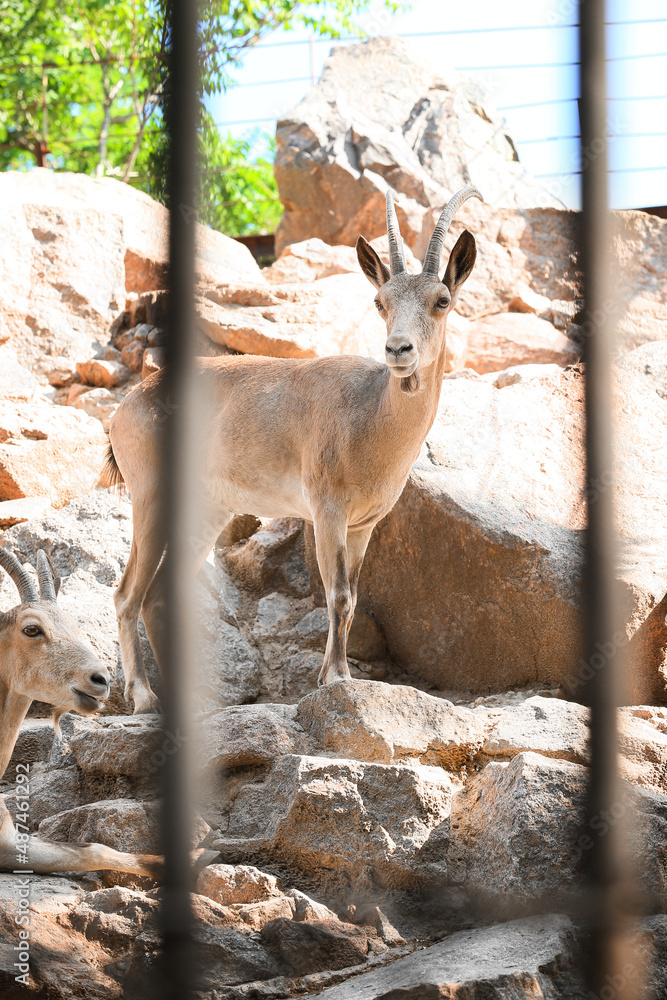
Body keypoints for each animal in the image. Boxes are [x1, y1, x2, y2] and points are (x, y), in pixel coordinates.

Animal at [104, 188, 482, 716]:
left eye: (442, 300)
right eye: (380, 301)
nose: (398, 350)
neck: (372, 416)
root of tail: (125, 408)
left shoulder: (363, 526)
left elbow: (352, 597)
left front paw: (331, 676)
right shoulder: (327, 511)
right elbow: (337, 596)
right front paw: (338, 678)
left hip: (208, 509)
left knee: (159, 596)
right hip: (150, 497)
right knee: (127, 594)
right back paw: (143, 697)